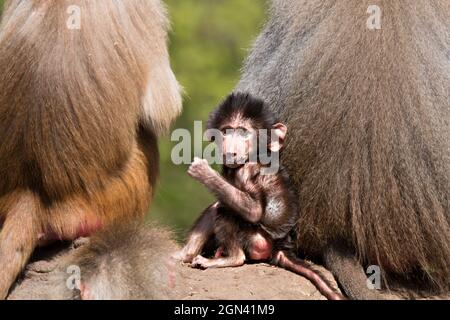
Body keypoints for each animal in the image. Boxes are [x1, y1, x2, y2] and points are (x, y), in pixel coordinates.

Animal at [176, 92, 344, 300]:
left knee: (224, 209)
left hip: (257, 241)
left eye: (243, 132)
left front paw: (203, 172)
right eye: (226, 131)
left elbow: (255, 211)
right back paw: (184, 255)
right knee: (218, 206)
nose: (230, 149)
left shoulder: (247, 171)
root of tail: (279, 247)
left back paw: (231, 259)